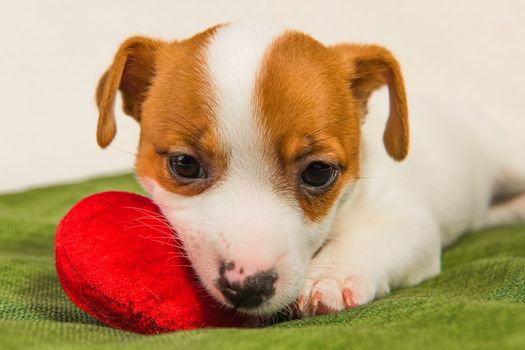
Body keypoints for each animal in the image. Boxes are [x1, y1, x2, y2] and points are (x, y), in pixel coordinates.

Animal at [94, 21, 524, 318]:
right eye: (184, 164)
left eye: (318, 172)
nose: (247, 288)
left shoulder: (406, 219)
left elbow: (372, 238)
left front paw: (331, 276)